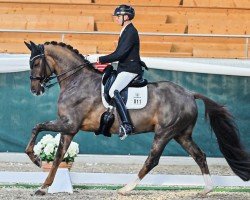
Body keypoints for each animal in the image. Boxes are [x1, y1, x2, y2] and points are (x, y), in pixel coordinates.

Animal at [23, 40, 250, 195]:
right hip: (182, 135)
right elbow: (57, 155)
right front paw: (43, 186)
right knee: (199, 155)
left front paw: (35, 161)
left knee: (152, 160)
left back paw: (126, 188)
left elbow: (38, 127)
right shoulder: (69, 129)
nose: (35, 90)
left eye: (35, 63)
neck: (77, 80)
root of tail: (189, 93)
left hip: (164, 133)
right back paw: (207, 189)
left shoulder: (69, 125)